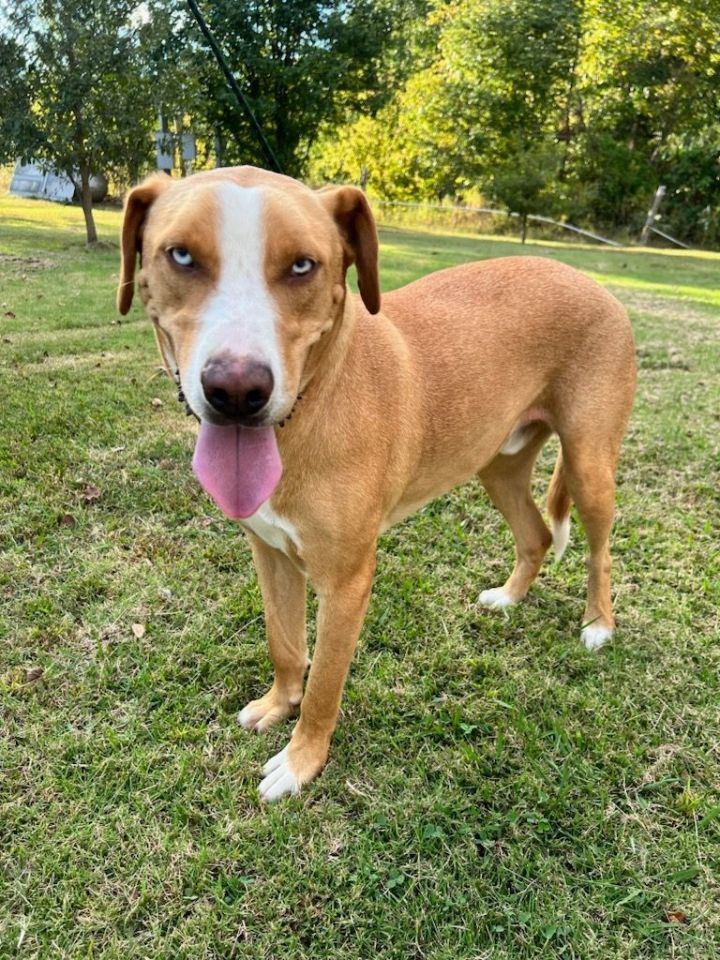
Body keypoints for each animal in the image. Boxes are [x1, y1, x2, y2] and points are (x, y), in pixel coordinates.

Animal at [114, 167, 636, 804]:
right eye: (181, 255)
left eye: (302, 265)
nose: (236, 392)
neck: (309, 411)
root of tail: (588, 279)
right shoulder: (270, 553)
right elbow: (285, 645)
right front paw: (277, 704)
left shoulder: (347, 582)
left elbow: (324, 684)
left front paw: (301, 762)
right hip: (497, 462)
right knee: (535, 533)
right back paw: (511, 598)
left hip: (589, 465)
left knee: (599, 549)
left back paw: (598, 625)